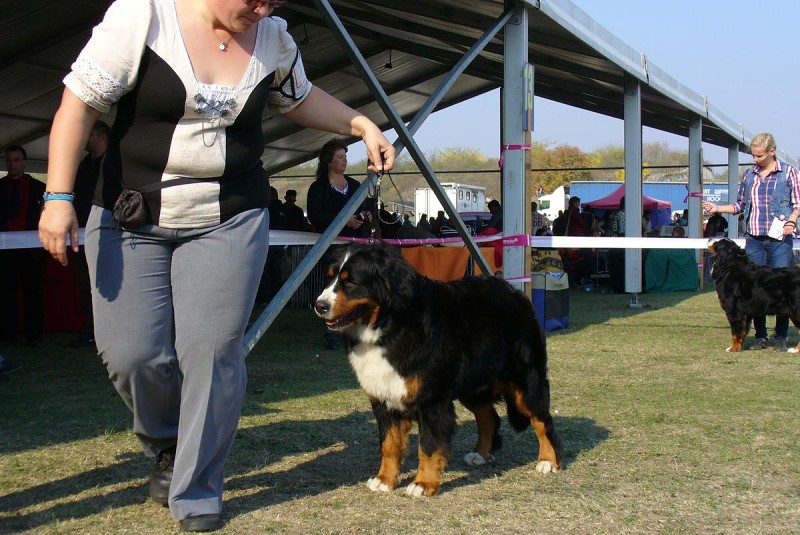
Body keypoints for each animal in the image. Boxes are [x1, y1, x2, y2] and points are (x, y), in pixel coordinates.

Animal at [314, 246, 564, 498]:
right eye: (329, 278)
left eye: (351, 282)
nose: (319, 305)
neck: (389, 325)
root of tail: (514, 291)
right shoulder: (384, 398)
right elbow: (389, 445)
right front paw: (384, 480)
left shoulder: (431, 401)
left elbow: (428, 447)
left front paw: (423, 484)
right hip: (472, 385)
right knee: (488, 417)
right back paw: (481, 454)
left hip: (526, 382)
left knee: (542, 419)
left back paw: (548, 461)